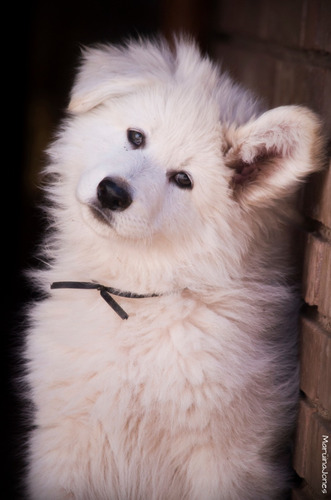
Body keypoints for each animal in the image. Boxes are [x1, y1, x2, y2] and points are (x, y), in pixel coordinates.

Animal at [24, 37, 326, 498]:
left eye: (183, 179)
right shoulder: (64, 438)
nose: (112, 193)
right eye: (135, 137)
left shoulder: (227, 459)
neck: (134, 297)